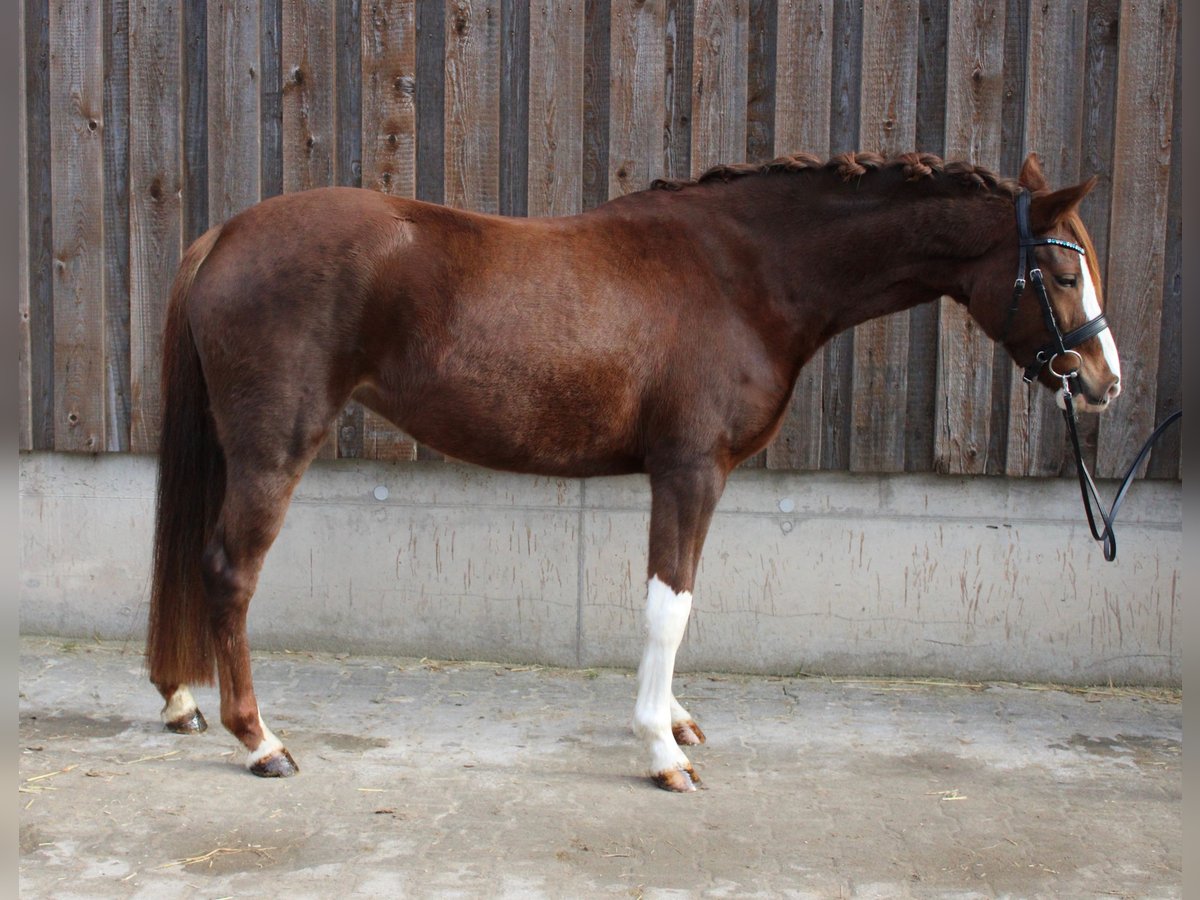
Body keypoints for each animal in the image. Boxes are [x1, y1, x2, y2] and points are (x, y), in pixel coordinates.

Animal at [145, 151, 1118, 792]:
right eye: (1059, 271)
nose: (1105, 383)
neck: (744, 273)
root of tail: (224, 234)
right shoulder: (690, 470)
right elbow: (668, 605)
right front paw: (661, 749)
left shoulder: (694, 476)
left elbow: (680, 601)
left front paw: (676, 719)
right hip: (274, 450)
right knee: (229, 574)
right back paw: (259, 740)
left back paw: (179, 700)